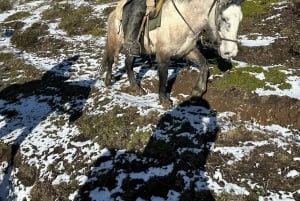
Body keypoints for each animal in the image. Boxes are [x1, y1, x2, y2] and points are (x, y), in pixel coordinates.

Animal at [102, 0, 243, 107]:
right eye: (224, 19)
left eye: (240, 19)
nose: (230, 52)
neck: (182, 19)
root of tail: (113, 14)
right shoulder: (163, 54)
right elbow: (164, 76)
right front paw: (164, 100)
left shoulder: (187, 50)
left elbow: (204, 64)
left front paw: (197, 92)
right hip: (117, 42)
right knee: (115, 60)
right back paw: (115, 83)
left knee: (126, 63)